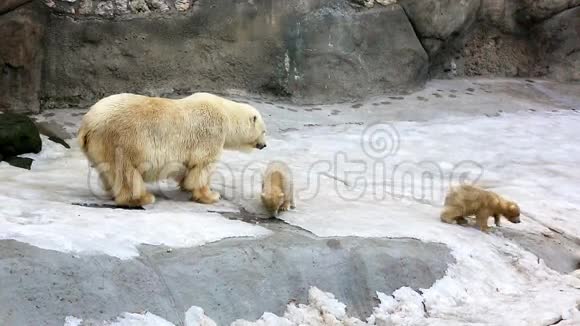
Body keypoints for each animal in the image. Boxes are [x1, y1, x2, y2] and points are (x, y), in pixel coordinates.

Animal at [78, 91, 268, 206]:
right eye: (264, 131)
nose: (264, 145)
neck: (225, 113)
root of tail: (87, 123)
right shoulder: (211, 134)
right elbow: (202, 166)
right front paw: (211, 195)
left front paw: (186, 186)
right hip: (121, 141)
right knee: (126, 171)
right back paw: (143, 197)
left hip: (100, 147)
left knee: (108, 171)